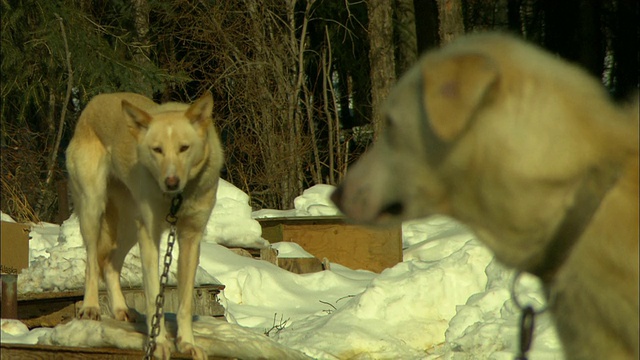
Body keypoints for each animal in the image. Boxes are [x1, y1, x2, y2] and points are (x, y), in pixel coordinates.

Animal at [66, 91, 224, 358]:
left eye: (184, 148)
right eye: (157, 150)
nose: (171, 182)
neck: (177, 199)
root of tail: (95, 101)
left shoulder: (190, 239)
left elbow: (185, 304)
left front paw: (187, 343)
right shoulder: (150, 236)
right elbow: (153, 295)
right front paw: (158, 343)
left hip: (130, 227)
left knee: (109, 263)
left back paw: (121, 309)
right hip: (93, 210)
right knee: (91, 262)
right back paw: (90, 307)